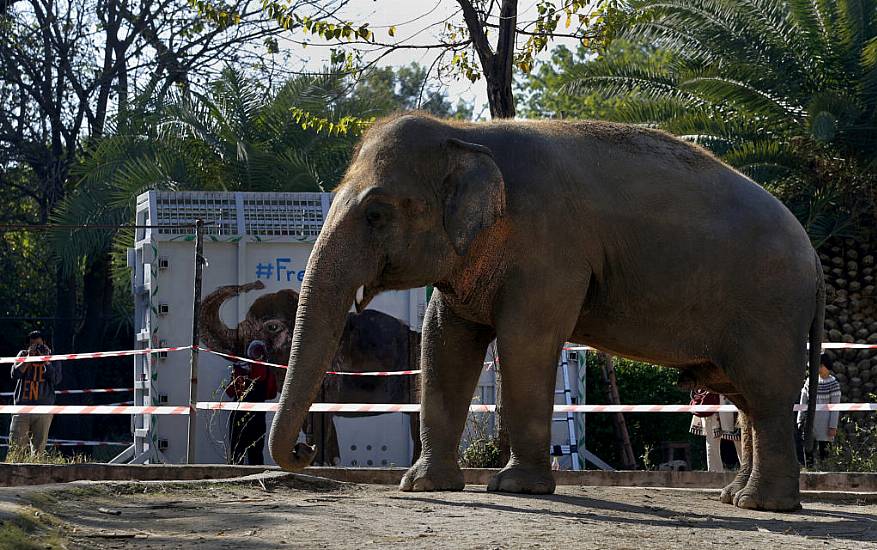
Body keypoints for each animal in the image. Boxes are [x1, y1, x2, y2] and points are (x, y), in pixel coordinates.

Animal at [266, 112, 820, 512]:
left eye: (376, 214)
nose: (305, 452)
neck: (467, 134)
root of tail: (813, 254)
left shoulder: (550, 248)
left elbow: (525, 342)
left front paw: (515, 488)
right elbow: (444, 341)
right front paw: (422, 486)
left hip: (770, 306)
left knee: (765, 395)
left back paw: (763, 505)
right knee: (744, 399)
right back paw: (735, 498)